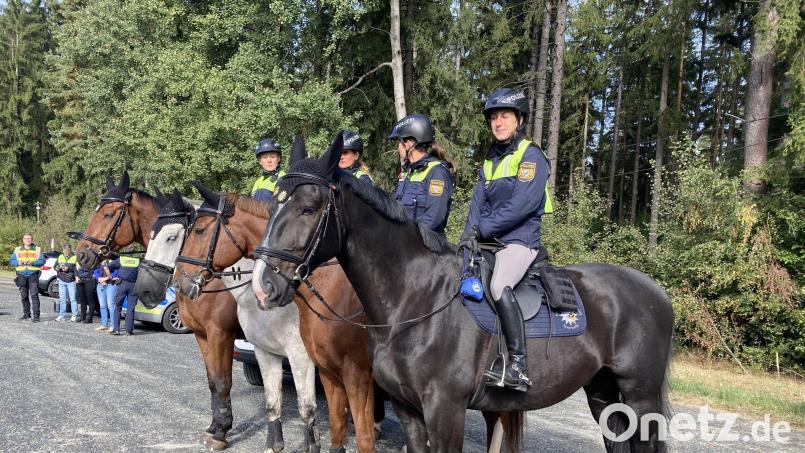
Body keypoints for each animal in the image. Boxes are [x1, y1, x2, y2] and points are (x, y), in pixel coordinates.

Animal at [75, 173, 316, 452]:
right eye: (152, 233)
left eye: (108, 214)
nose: (81, 255)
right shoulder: (202, 336)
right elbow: (213, 381)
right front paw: (215, 427)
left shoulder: (220, 334)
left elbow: (223, 381)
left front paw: (221, 433)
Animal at [140, 186, 375, 452]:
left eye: (177, 236)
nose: (179, 283)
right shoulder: (246, 346)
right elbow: (262, 397)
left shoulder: (293, 354)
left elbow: (303, 407)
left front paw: (219, 433)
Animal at [250, 135, 674, 453]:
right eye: (273, 208)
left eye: (309, 208)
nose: (262, 285)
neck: (415, 297)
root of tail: (655, 290)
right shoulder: (408, 410)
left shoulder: (445, 411)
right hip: (603, 392)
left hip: (640, 395)